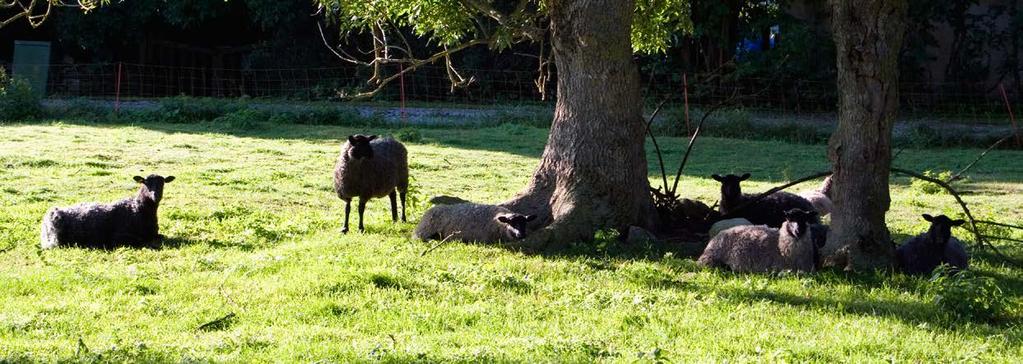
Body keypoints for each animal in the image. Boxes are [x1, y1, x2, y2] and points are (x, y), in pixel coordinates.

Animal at [39, 173, 174, 248]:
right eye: (145, 183)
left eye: (163, 183)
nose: (156, 196)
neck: (138, 208)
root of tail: (50, 214)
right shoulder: (121, 238)